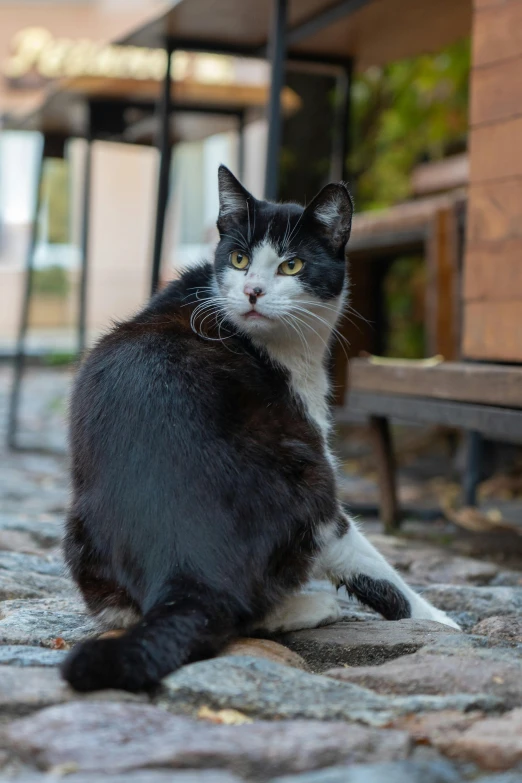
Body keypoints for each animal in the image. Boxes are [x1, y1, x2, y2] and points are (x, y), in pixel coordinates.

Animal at [61, 165, 458, 692]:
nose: (251, 291)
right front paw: (440, 620)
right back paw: (314, 606)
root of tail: (186, 563)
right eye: (240, 258)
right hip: (308, 474)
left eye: (291, 266)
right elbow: (371, 564)